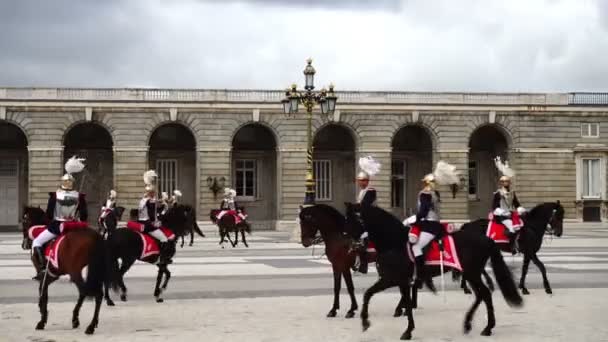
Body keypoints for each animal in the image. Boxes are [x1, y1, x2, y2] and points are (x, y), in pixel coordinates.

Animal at [20, 206, 114, 334]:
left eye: (24, 221)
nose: (24, 245)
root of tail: (95, 236)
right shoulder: (51, 275)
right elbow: (43, 292)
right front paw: (43, 318)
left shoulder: (44, 275)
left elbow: (43, 294)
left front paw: (42, 320)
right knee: (88, 293)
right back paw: (79, 320)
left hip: (75, 273)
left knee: (91, 293)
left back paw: (89, 326)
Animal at [342, 203, 524, 340]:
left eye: (351, 220)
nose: (349, 244)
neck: (394, 242)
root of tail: (487, 239)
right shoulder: (398, 281)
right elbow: (378, 296)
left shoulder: (393, 279)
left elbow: (373, 295)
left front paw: (371, 323)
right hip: (471, 273)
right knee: (481, 295)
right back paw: (470, 324)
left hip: (472, 273)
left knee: (484, 294)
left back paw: (486, 327)